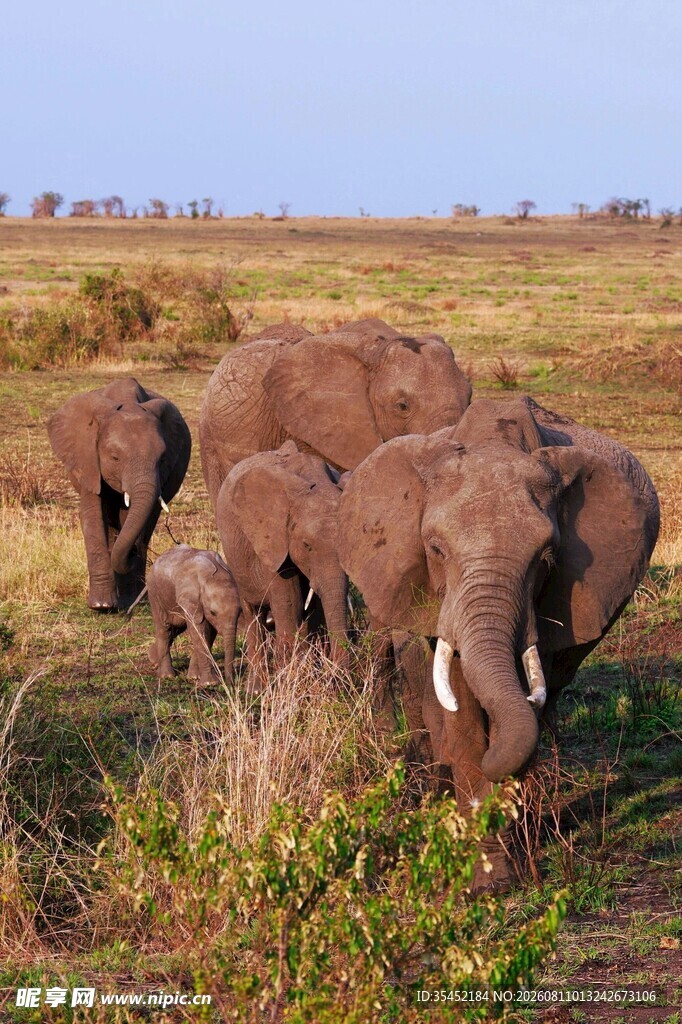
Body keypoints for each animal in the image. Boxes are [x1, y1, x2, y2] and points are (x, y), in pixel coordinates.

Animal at [47, 378, 191, 611]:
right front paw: (101, 606)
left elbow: (134, 519)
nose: (132, 553)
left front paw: (125, 601)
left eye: (162, 459)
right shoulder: (87, 460)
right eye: (115, 457)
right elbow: (92, 516)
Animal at [146, 545, 241, 686]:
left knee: (176, 628)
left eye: (239, 612)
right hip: (154, 593)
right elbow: (198, 631)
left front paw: (195, 677)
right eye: (213, 612)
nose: (230, 683)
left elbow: (208, 633)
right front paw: (210, 683)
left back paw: (153, 660)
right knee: (164, 628)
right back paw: (167, 675)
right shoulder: (191, 597)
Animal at [216, 441, 349, 687]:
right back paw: (256, 689)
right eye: (306, 545)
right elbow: (289, 604)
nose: (339, 676)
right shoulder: (272, 540)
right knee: (253, 613)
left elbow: (314, 608)